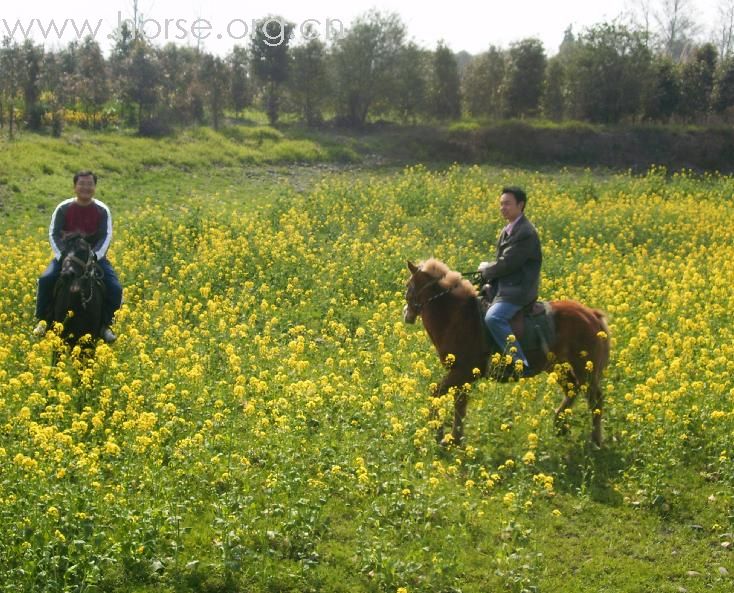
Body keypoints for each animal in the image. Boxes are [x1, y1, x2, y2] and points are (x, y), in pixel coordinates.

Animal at [406, 256, 612, 446]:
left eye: (409, 285)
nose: (406, 315)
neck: (458, 316)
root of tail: (592, 315)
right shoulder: (462, 376)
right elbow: (459, 404)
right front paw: (454, 438)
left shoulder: (462, 372)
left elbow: (437, 394)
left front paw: (439, 433)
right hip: (556, 366)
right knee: (572, 388)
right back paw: (560, 425)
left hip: (585, 368)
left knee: (595, 400)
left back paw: (595, 440)